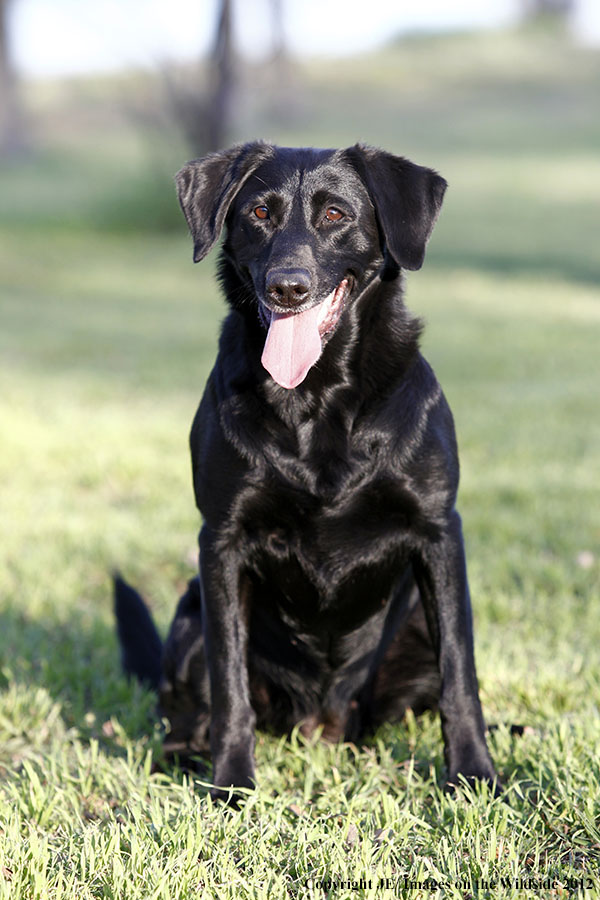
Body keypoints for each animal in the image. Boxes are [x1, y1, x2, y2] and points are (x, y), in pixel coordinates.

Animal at [115, 141, 500, 800]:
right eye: (259, 213)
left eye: (335, 215)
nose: (287, 286)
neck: (317, 400)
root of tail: (322, 725)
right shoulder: (221, 542)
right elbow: (230, 687)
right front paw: (232, 784)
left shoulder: (438, 532)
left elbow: (461, 674)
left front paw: (475, 775)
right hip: (191, 615)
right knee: (187, 711)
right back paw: (185, 762)